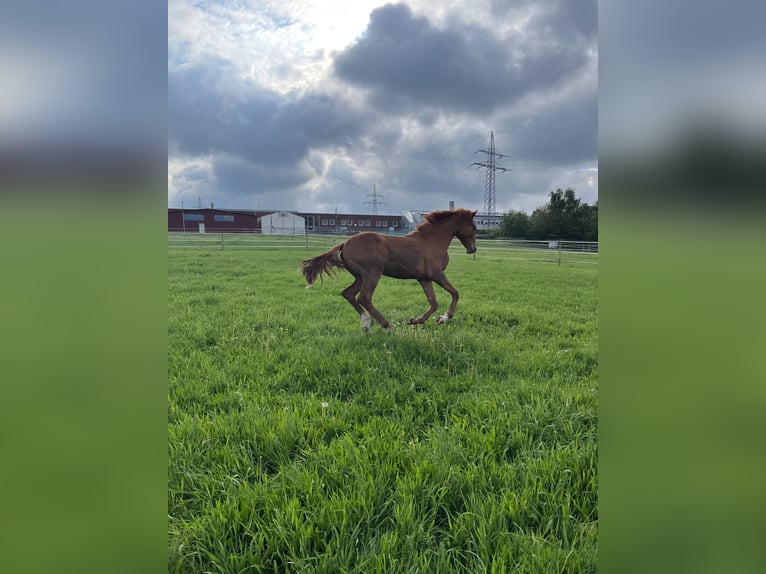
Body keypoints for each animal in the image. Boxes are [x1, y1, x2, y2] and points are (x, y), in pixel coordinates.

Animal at [302, 208, 476, 332]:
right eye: (474, 227)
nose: (473, 249)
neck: (432, 241)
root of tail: (344, 244)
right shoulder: (436, 274)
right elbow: (455, 293)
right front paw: (443, 318)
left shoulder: (424, 278)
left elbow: (433, 303)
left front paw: (415, 320)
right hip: (373, 273)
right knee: (364, 297)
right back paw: (387, 326)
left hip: (360, 277)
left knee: (348, 294)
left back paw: (366, 323)